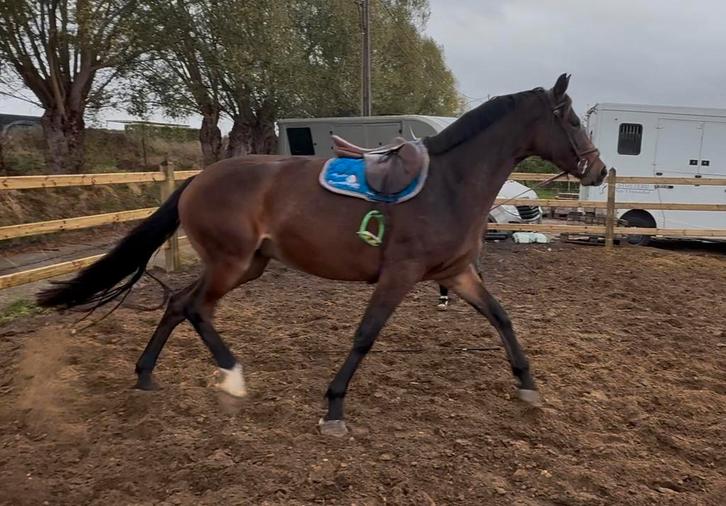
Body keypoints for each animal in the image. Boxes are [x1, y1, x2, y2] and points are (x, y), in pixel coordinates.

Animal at [37, 74, 607, 437]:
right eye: (571, 119)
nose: (599, 170)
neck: (450, 184)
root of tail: (198, 179)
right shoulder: (399, 275)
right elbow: (365, 337)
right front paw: (334, 409)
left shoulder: (459, 273)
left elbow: (501, 318)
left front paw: (528, 385)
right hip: (231, 263)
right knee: (196, 308)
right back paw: (233, 378)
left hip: (248, 265)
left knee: (179, 304)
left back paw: (146, 376)